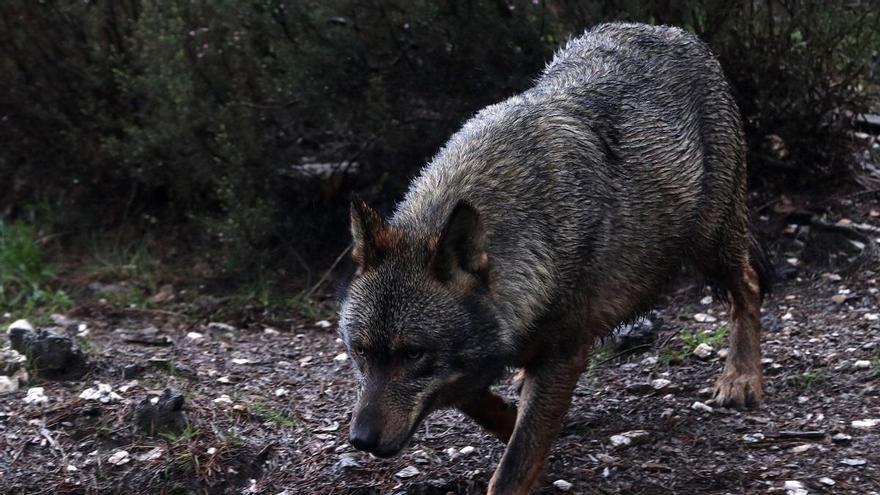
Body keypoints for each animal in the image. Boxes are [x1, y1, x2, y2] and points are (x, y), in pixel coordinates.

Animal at [338, 22, 770, 494]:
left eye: (413, 354)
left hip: (711, 244)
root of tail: (672, 31)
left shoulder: (563, 355)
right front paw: (517, 421)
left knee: (749, 287)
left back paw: (741, 378)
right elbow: (481, 401)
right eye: (360, 352)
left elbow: (515, 463)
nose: (360, 440)